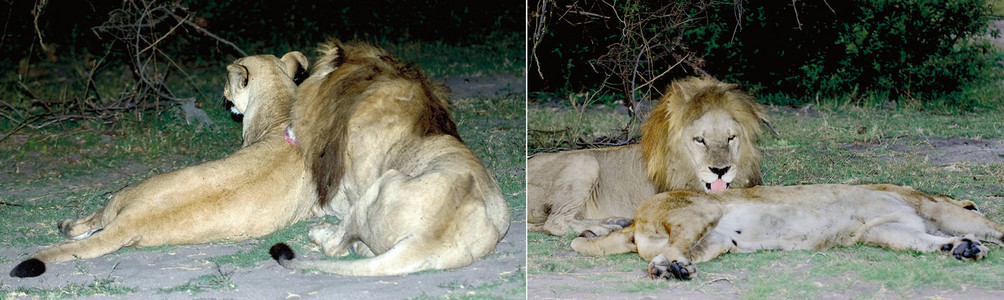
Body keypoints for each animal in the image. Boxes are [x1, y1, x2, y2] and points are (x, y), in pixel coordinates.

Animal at [9, 52, 317, 278]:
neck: (280, 105)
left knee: (91, 223)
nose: (223, 92)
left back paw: (65, 225)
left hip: (120, 195)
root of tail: (132, 219)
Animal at [269, 39, 510, 276]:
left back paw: (323, 233)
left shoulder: (350, 188)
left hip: (380, 185)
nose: (286, 129)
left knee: (335, 245)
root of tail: (425, 239)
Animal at [530, 77, 771, 237]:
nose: (720, 170)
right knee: (555, 222)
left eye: (731, 138)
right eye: (700, 140)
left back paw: (615, 220)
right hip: (585, 161)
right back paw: (601, 228)